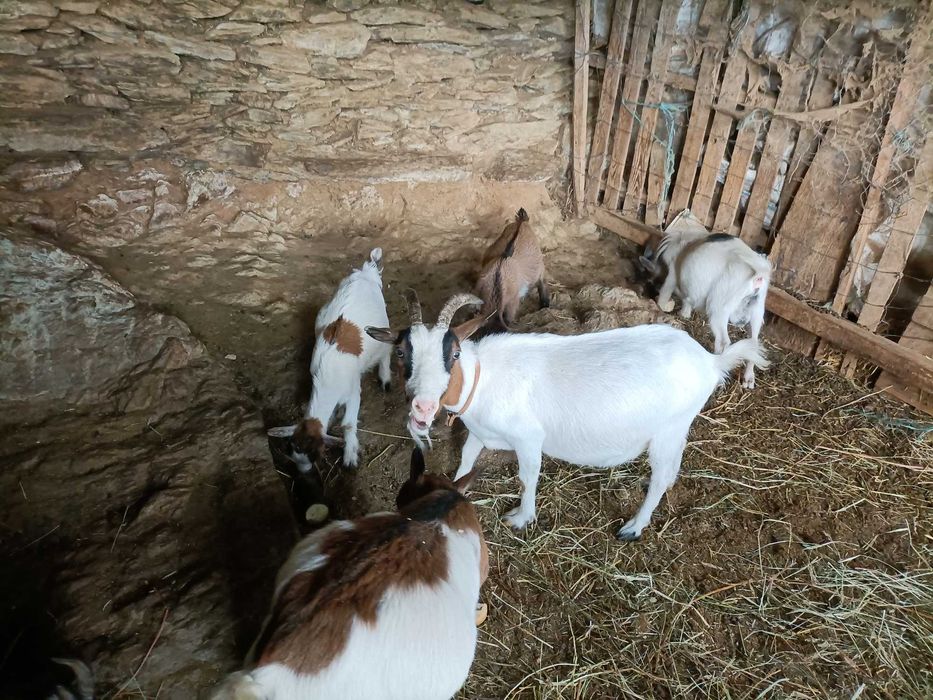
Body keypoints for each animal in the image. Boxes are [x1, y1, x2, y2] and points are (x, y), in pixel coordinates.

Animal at [268, 248, 392, 469]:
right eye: (291, 451)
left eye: (315, 454)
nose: (305, 473)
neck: (328, 379)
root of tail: (367, 273)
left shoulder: (353, 390)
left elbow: (349, 423)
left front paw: (350, 457)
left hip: (381, 327)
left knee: (386, 349)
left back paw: (385, 378)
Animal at [366, 293, 768, 540]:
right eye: (401, 352)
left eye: (454, 354)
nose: (422, 407)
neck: (483, 379)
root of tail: (710, 361)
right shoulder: (479, 431)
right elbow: (466, 459)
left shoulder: (528, 438)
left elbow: (528, 477)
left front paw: (521, 518)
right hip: (678, 428)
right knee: (671, 470)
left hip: (667, 430)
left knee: (660, 477)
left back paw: (634, 527)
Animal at [640, 230, 771, 388]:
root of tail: (757, 275)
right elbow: (688, 300)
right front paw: (685, 314)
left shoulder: (671, 277)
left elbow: (665, 296)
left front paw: (663, 308)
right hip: (758, 310)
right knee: (754, 341)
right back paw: (748, 378)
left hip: (719, 308)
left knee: (723, 341)